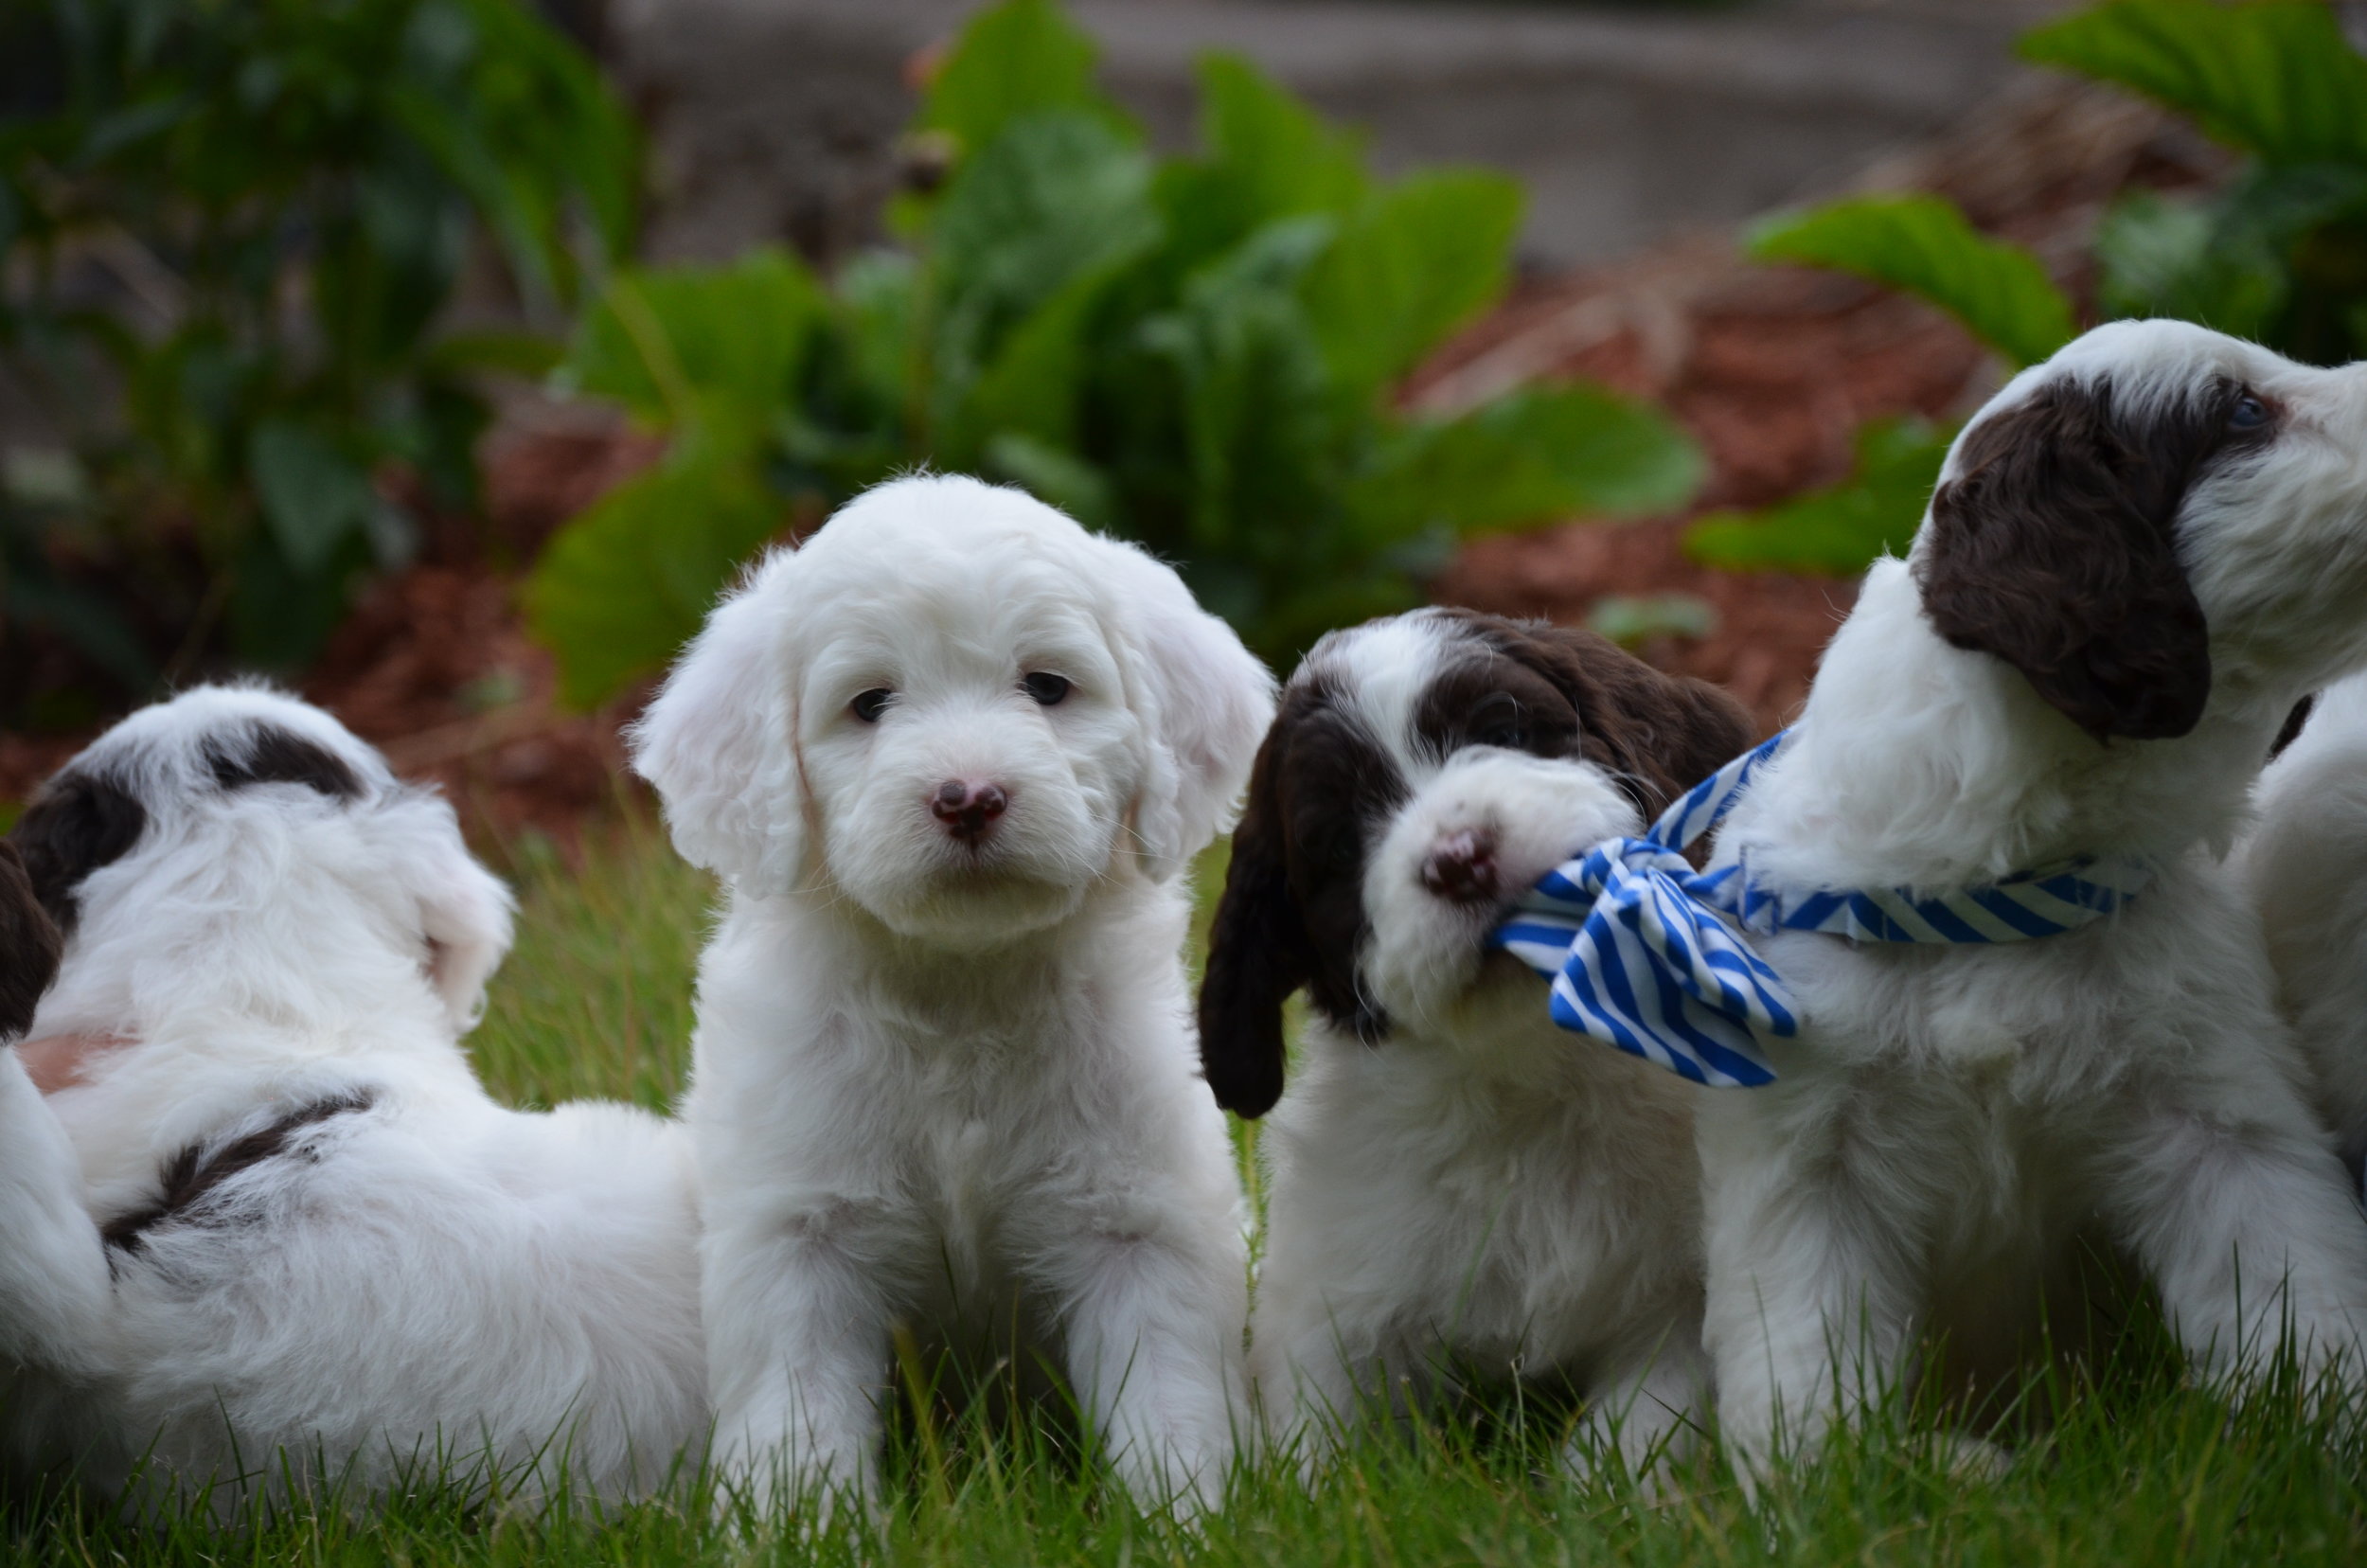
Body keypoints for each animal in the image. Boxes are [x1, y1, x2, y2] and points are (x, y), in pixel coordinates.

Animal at [634, 473, 1278, 1515]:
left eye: (1047, 687)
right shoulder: (799, 1236)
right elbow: (796, 1419)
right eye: (870, 704)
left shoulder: (1139, 1225)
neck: (960, 989)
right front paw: (799, 1526)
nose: (968, 797)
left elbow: (1171, 1401)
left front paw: (1188, 1518)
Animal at [1212, 606, 1752, 1477]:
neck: (1531, 1078)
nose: (1460, 861)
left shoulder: (1680, 1303)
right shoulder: (1330, 1303)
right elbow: (1324, 1452)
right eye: (1342, 844)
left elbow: (1637, 1432)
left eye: (1504, 730)